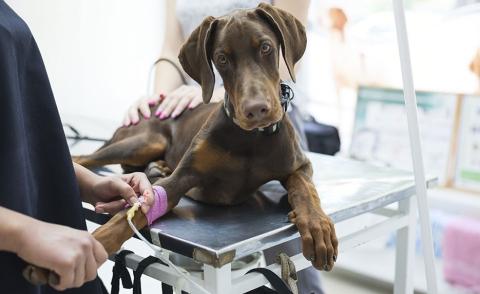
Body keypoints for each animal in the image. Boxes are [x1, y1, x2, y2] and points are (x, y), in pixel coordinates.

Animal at [76, 3, 338, 272]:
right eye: (222, 59)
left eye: (265, 47)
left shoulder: (300, 164)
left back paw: (158, 166)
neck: (250, 139)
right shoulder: (180, 179)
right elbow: (127, 216)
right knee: (83, 157)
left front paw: (317, 225)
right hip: (144, 142)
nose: (256, 110)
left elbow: (304, 187)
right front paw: (92, 245)